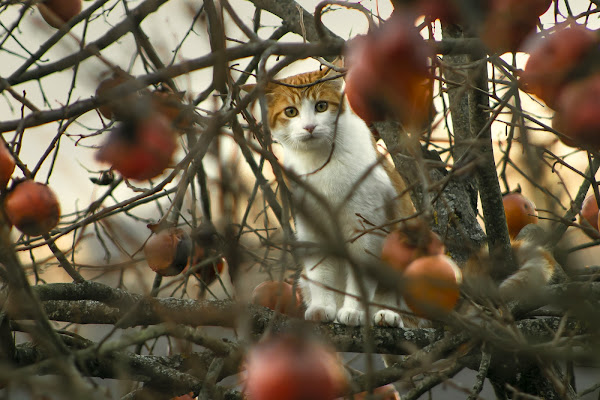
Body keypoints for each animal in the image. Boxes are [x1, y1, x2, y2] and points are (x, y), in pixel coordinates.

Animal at [241, 65, 414, 326]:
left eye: (321, 106)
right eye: (291, 112)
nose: (309, 127)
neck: (321, 163)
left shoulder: (365, 231)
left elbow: (360, 280)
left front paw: (353, 311)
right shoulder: (313, 231)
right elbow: (321, 274)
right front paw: (323, 307)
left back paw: (387, 315)